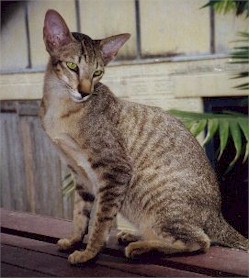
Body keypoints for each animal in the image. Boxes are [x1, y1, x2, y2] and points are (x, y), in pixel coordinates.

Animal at [40, 9, 247, 266]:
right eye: (71, 66)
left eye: (98, 73)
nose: (85, 92)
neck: (59, 107)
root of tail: (217, 214)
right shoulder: (80, 175)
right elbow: (80, 216)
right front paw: (73, 241)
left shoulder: (114, 169)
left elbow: (100, 222)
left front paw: (89, 253)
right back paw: (134, 235)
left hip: (153, 196)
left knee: (201, 241)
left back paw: (142, 247)